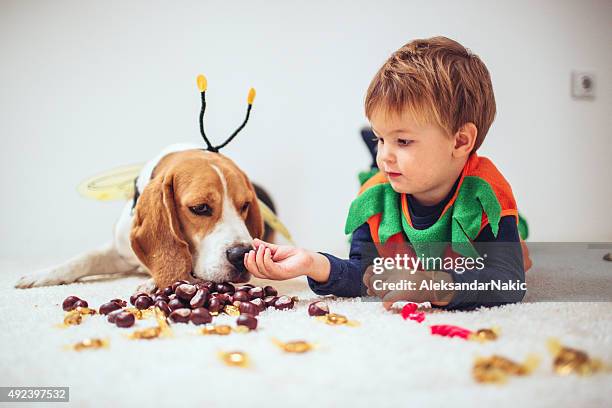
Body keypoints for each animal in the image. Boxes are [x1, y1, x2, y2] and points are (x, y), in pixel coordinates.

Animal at [13, 143, 264, 294]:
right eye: (200, 208)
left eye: (245, 205)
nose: (242, 255)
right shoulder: (120, 252)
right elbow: (84, 258)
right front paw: (43, 275)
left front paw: (151, 283)